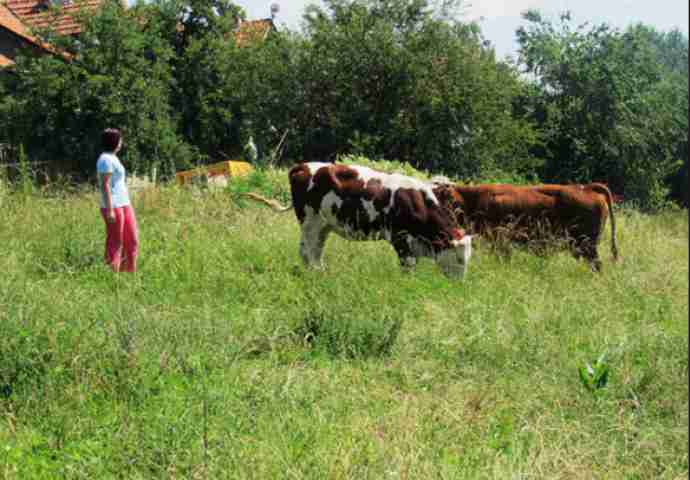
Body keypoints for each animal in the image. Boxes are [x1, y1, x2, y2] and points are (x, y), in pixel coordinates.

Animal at [245, 164, 470, 280]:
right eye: (460, 259)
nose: (458, 284)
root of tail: (303, 166)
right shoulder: (399, 237)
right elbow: (408, 266)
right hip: (310, 221)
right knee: (308, 250)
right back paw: (316, 274)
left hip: (323, 225)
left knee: (314, 250)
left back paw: (320, 272)